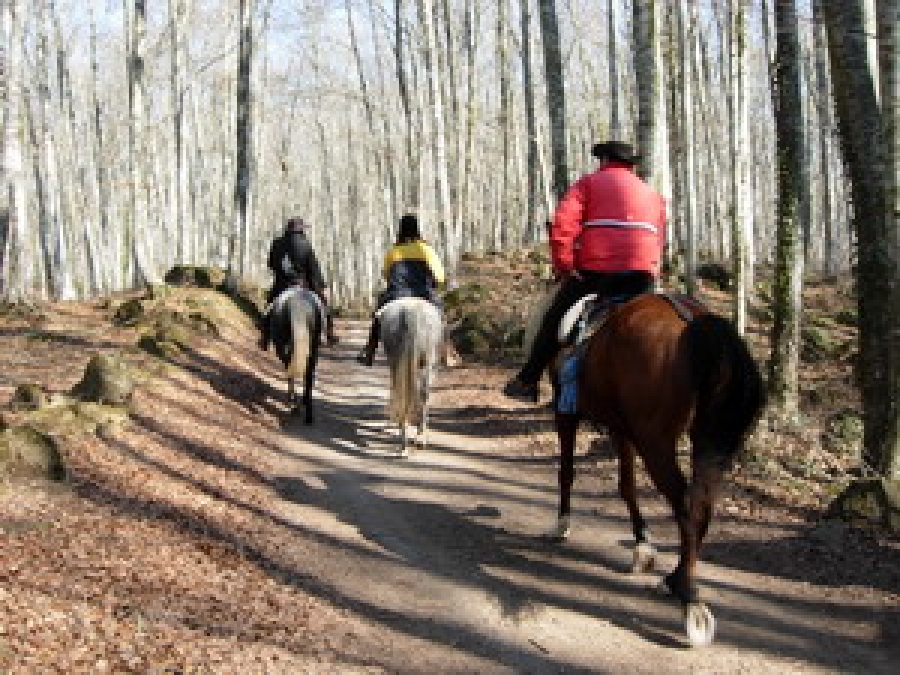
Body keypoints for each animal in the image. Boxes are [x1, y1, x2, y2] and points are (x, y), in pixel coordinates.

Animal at [376, 296, 442, 454]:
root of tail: (411, 312)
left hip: (397, 358)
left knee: (402, 389)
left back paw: (405, 439)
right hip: (425, 359)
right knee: (421, 394)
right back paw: (417, 438)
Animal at [552, 294, 764, 648]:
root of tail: (691, 321)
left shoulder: (566, 414)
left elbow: (567, 472)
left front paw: (561, 525)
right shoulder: (620, 428)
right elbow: (626, 486)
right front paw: (642, 547)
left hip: (655, 442)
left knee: (686, 508)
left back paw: (690, 600)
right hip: (701, 440)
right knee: (701, 508)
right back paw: (675, 581)